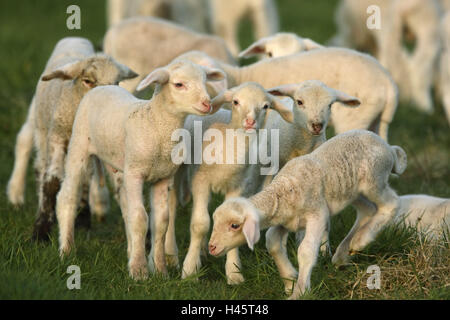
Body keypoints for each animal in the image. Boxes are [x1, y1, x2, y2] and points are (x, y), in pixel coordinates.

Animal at [5, 36, 138, 239]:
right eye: (87, 80)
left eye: (117, 83)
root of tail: (75, 38)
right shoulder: (57, 137)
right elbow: (51, 182)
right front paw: (41, 231)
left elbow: (85, 179)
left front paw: (82, 220)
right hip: (43, 131)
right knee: (38, 164)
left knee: (86, 176)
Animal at [55, 58, 225, 278]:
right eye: (179, 84)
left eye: (205, 81)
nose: (207, 104)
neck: (156, 126)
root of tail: (102, 87)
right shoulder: (135, 174)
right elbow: (139, 218)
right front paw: (139, 271)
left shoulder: (162, 178)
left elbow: (161, 222)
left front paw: (160, 270)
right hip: (79, 145)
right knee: (67, 196)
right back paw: (66, 250)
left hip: (119, 164)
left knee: (125, 205)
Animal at [208, 129, 408, 298]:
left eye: (234, 225)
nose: (211, 248)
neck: (283, 189)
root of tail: (389, 148)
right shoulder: (285, 221)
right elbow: (272, 242)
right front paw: (290, 280)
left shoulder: (317, 215)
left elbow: (305, 251)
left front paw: (300, 291)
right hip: (353, 191)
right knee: (368, 210)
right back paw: (344, 253)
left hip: (374, 180)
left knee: (392, 203)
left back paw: (360, 241)